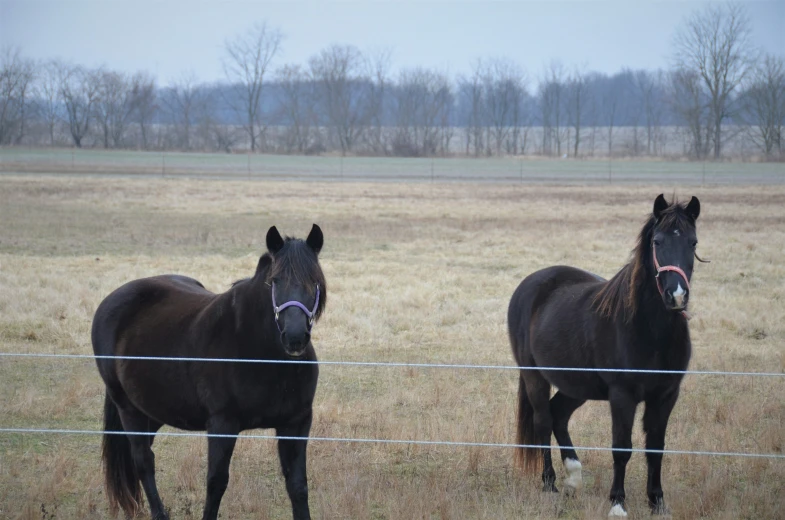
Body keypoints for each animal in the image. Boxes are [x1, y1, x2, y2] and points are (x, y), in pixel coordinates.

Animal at [93, 224, 326, 520]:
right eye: (274, 281)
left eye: (315, 281)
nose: (295, 337)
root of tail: (113, 299)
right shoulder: (222, 424)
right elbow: (216, 483)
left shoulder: (296, 423)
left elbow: (297, 486)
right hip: (128, 408)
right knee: (143, 461)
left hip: (152, 409)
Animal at [508, 195, 704, 516]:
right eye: (657, 242)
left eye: (693, 242)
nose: (676, 296)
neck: (650, 331)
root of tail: (531, 283)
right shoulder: (622, 395)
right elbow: (622, 448)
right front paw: (617, 504)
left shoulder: (666, 395)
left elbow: (656, 448)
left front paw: (657, 502)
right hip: (534, 376)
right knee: (543, 421)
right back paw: (549, 484)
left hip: (576, 385)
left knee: (559, 415)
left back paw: (574, 478)